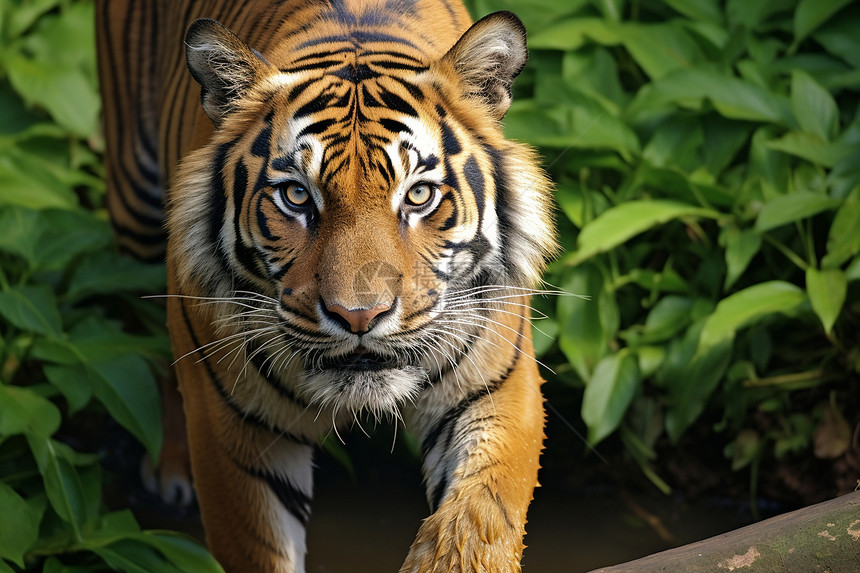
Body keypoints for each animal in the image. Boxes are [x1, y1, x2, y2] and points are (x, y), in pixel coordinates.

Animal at [97, 1, 556, 572]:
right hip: (134, 196)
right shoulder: (235, 431)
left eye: (419, 195)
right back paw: (170, 469)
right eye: (296, 195)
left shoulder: (494, 387)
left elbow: (479, 515)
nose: (359, 316)